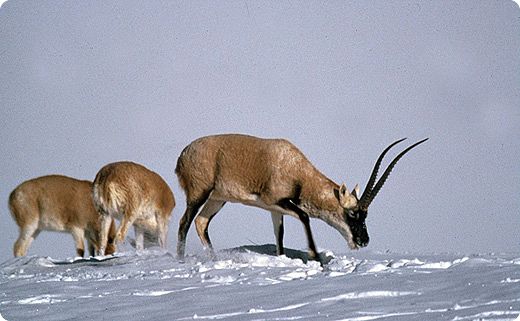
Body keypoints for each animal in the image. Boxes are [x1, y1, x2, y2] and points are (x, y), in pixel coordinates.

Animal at [175, 132, 426, 260]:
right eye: (353, 213)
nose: (363, 241)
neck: (297, 170)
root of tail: (183, 154)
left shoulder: (275, 210)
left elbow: (280, 236)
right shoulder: (278, 202)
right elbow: (305, 217)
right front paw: (318, 260)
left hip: (218, 199)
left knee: (201, 223)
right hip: (199, 194)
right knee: (185, 222)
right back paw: (181, 259)